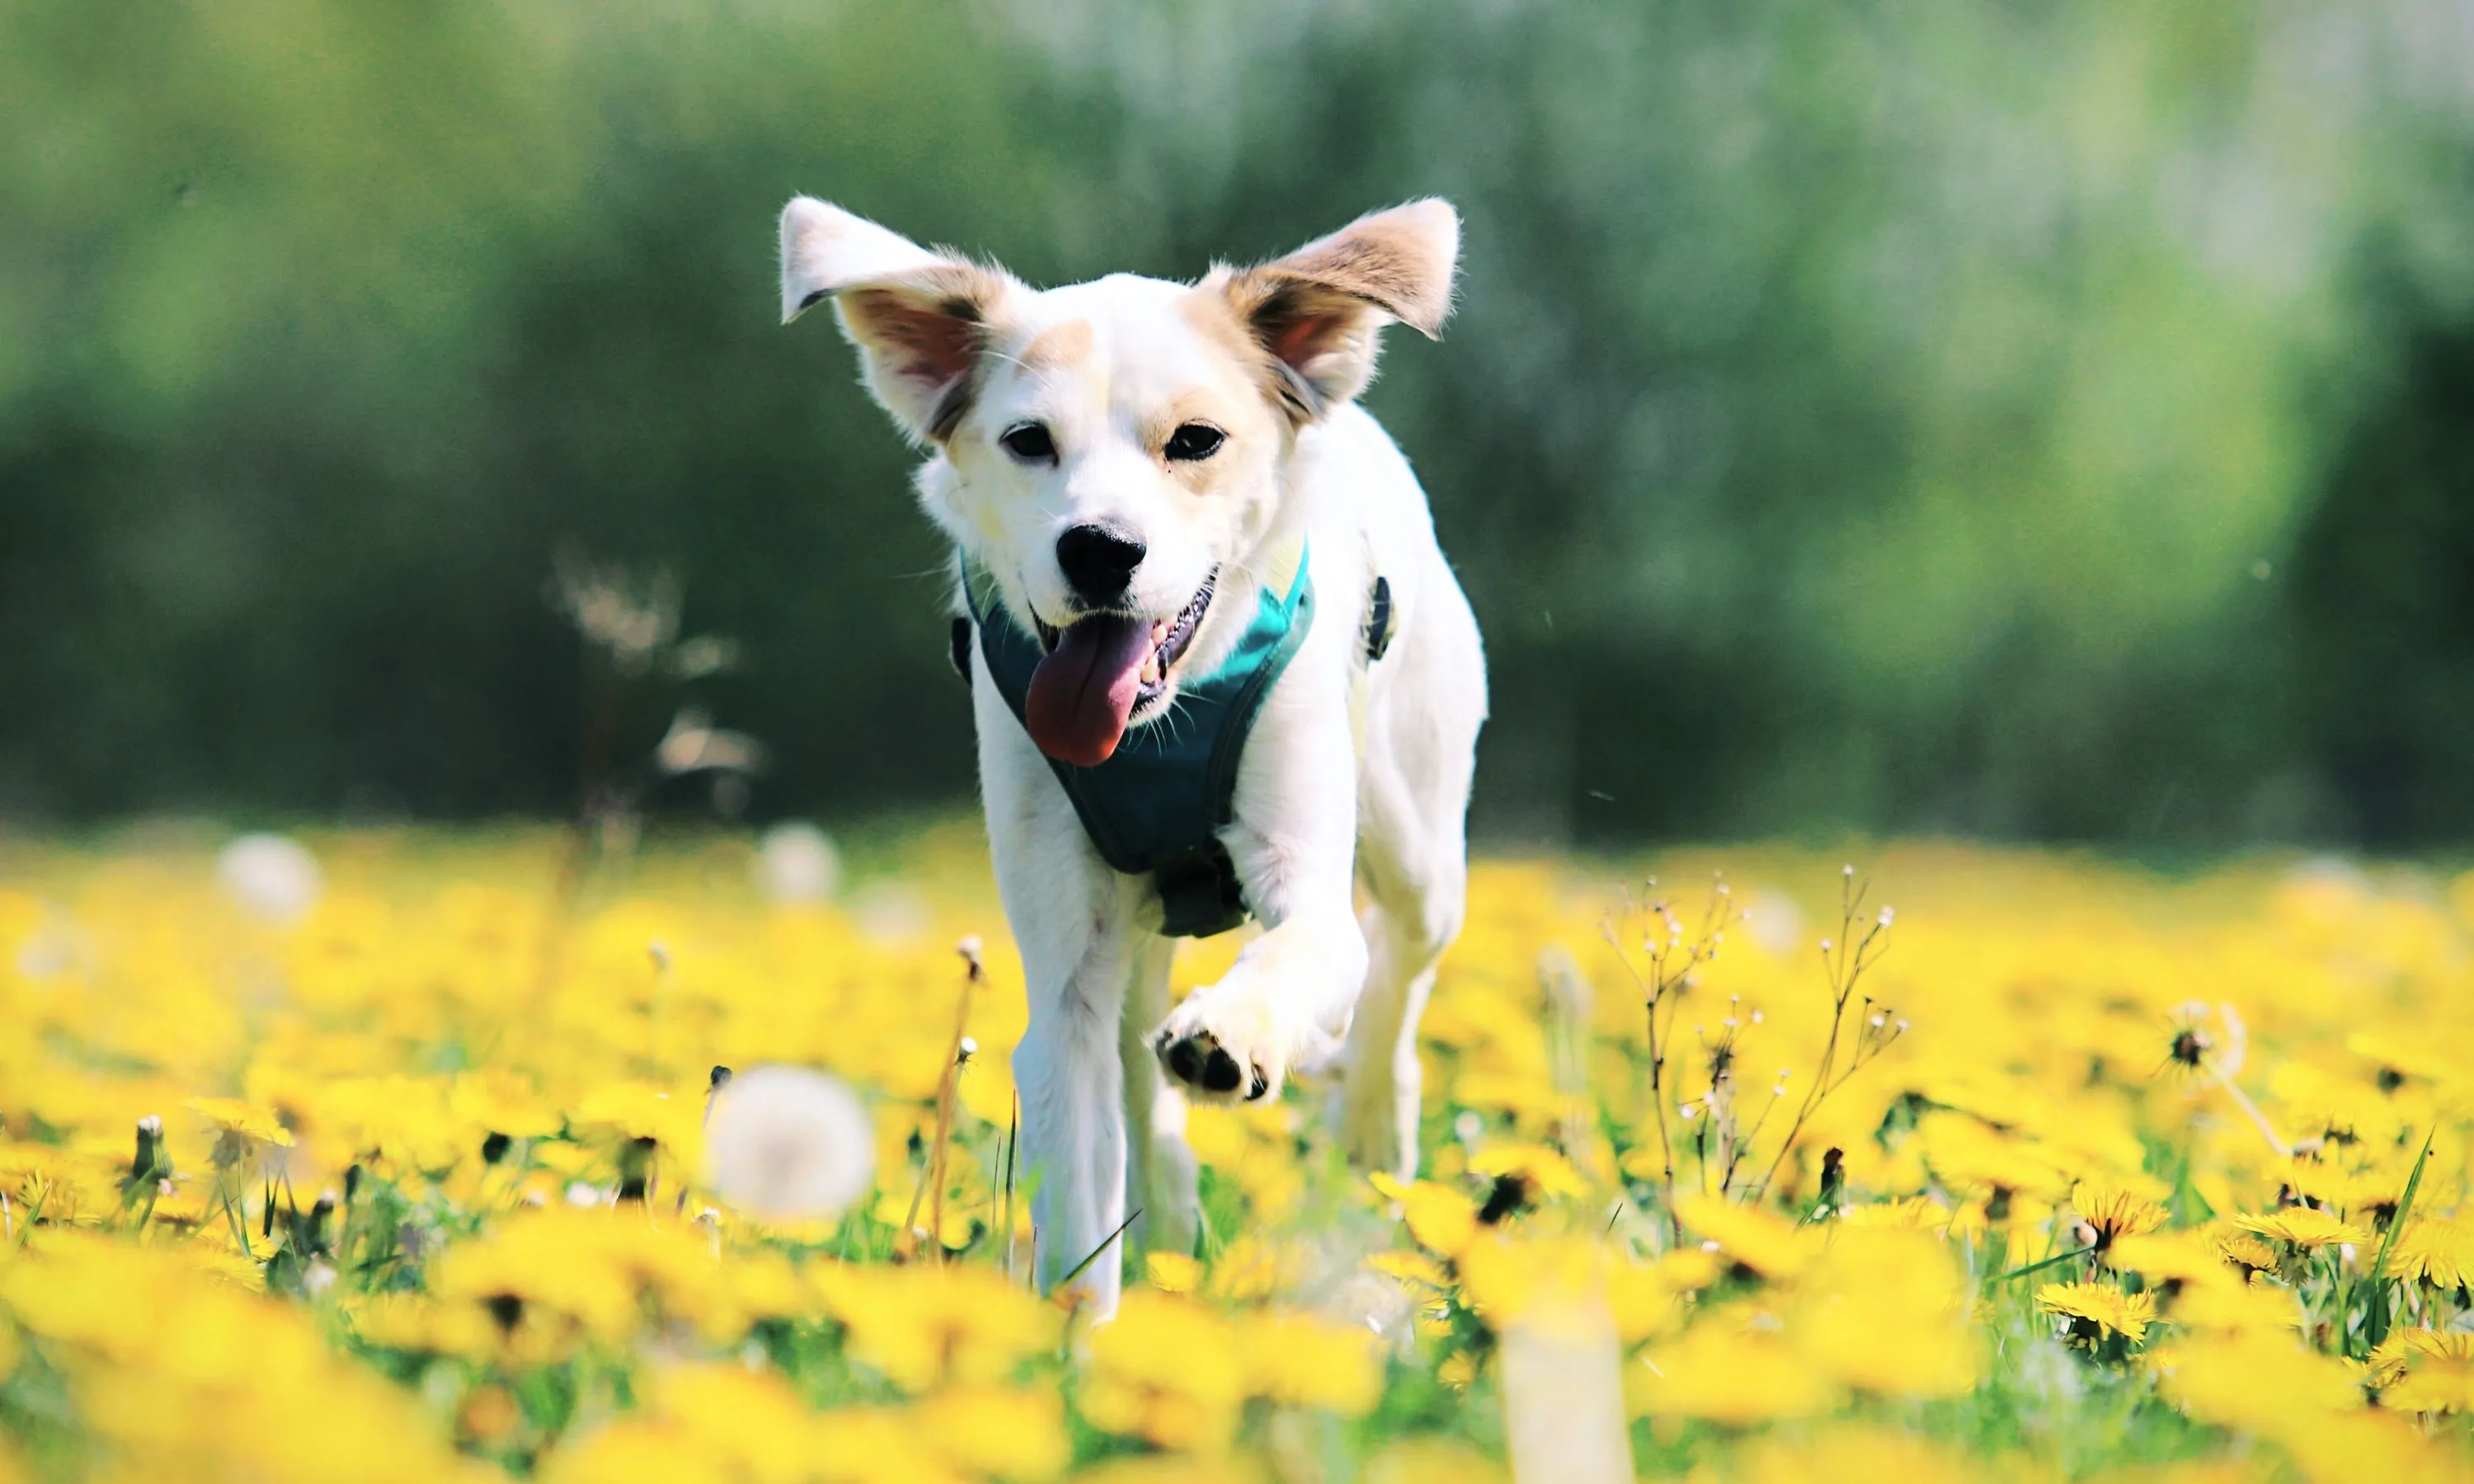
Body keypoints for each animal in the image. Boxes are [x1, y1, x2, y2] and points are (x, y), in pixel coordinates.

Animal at [787, 196, 1484, 1306]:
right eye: (1028, 441)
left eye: (1195, 441)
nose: (1099, 549)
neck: (1158, 727)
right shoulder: (1068, 964)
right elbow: (1079, 1171)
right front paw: (1082, 1335)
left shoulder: (1307, 869)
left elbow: (1307, 946)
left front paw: (1233, 1034)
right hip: (1135, 939)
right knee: (1136, 1072)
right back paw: (1175, 1208)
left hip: (1419, 837)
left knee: (1396, 979)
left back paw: (1372, 1123)